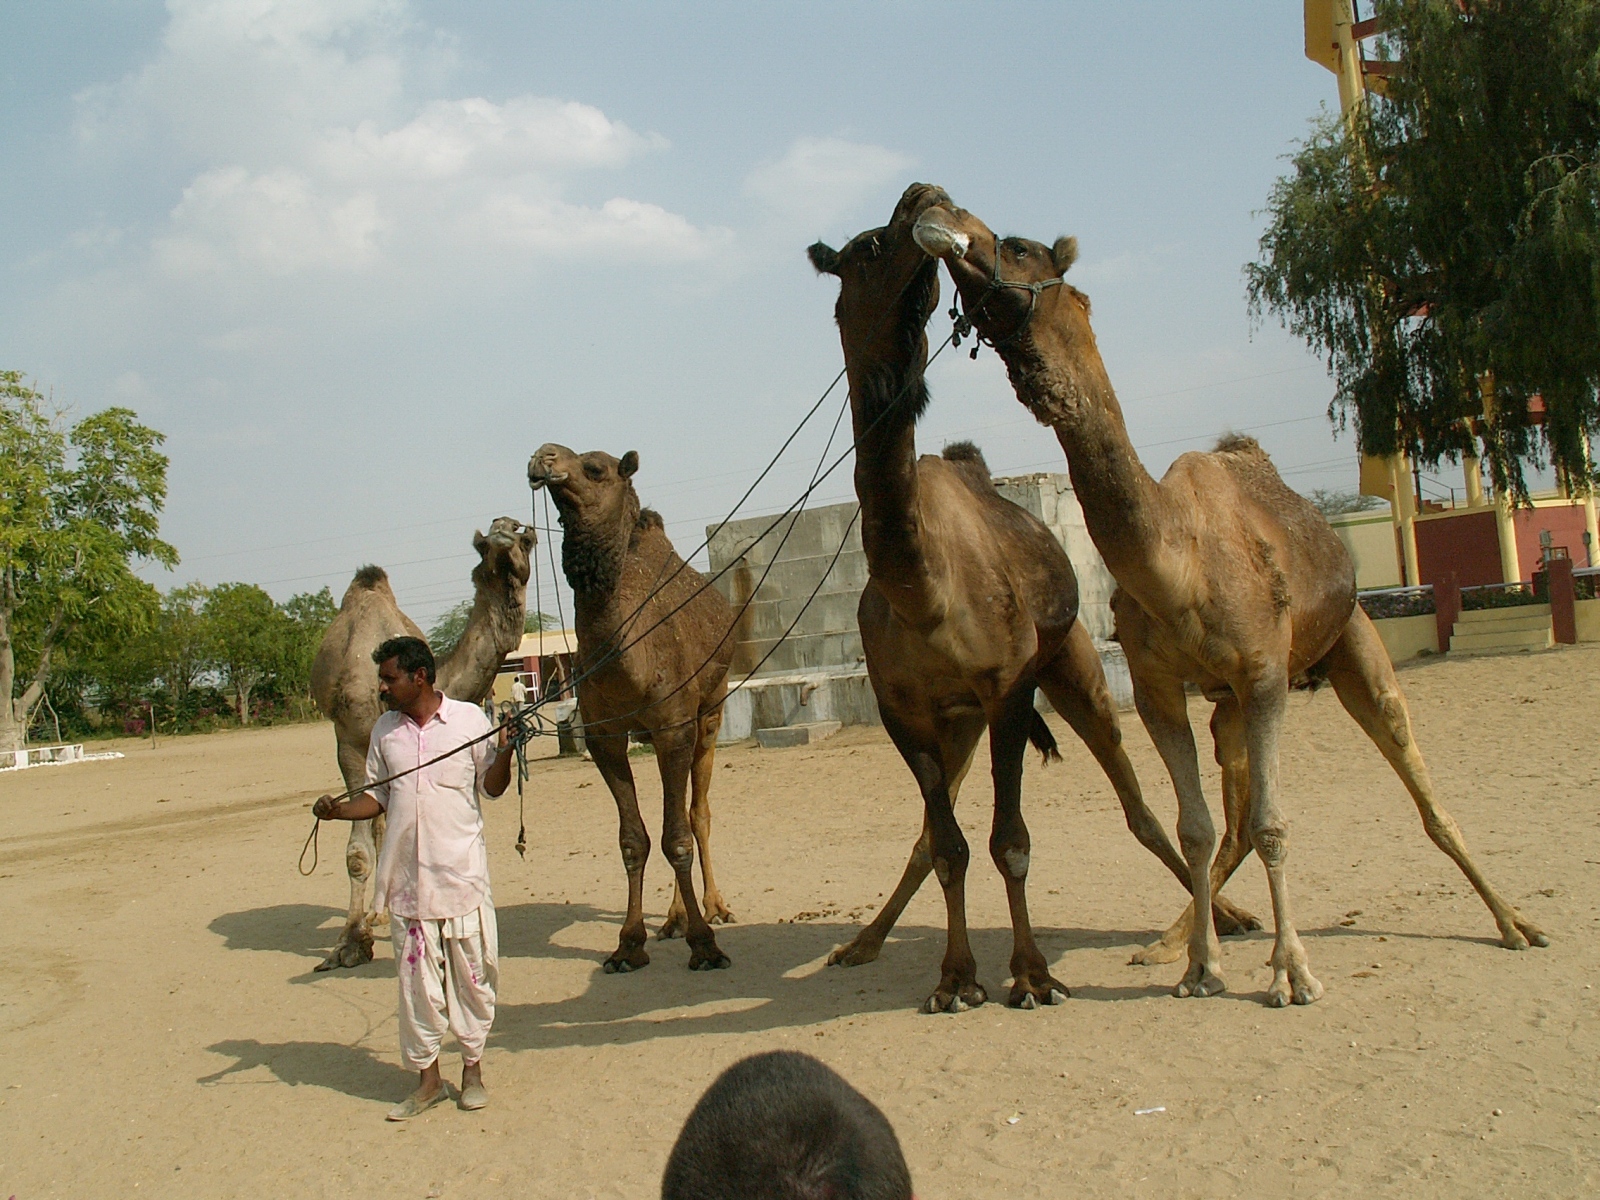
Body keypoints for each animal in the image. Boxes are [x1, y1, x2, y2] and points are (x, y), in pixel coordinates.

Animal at [527, 444, 735, 972]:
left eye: (595, 468)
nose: (542, 457)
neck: (628, 661)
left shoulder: (674, 726)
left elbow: (677, 836)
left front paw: (705, 945)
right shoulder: (604, 735)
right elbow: (633, 840)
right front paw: (628, 944)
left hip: (711, 710)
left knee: (697, 812)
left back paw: (714, 908)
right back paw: (674, 918)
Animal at [804, 182, 1255, 1014]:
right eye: (869, 248)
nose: (923, 195)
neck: (921, 591)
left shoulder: (1008, 686)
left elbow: (1009, 840)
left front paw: (1033, 974)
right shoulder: (903, 711)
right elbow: (949, 846)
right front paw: (955, 979)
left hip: (1069, 667)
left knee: (1139, 806)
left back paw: (1221, 922)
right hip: (957, 726)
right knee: (929, 837)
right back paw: (861, 943)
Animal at [911, 198, 1549, 1006]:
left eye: (1019, 246)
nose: (936, 210)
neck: (1175, 563)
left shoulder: (1266, 671)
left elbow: (1276, 823)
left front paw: (1292, 974)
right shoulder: (1159, 687)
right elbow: (1197, 826)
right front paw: (1200, 968)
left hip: (1350, 640)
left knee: (1415, 779)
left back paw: (1514, 923)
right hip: (1228, 705)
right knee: (1235, 817)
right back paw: (1167, 943)